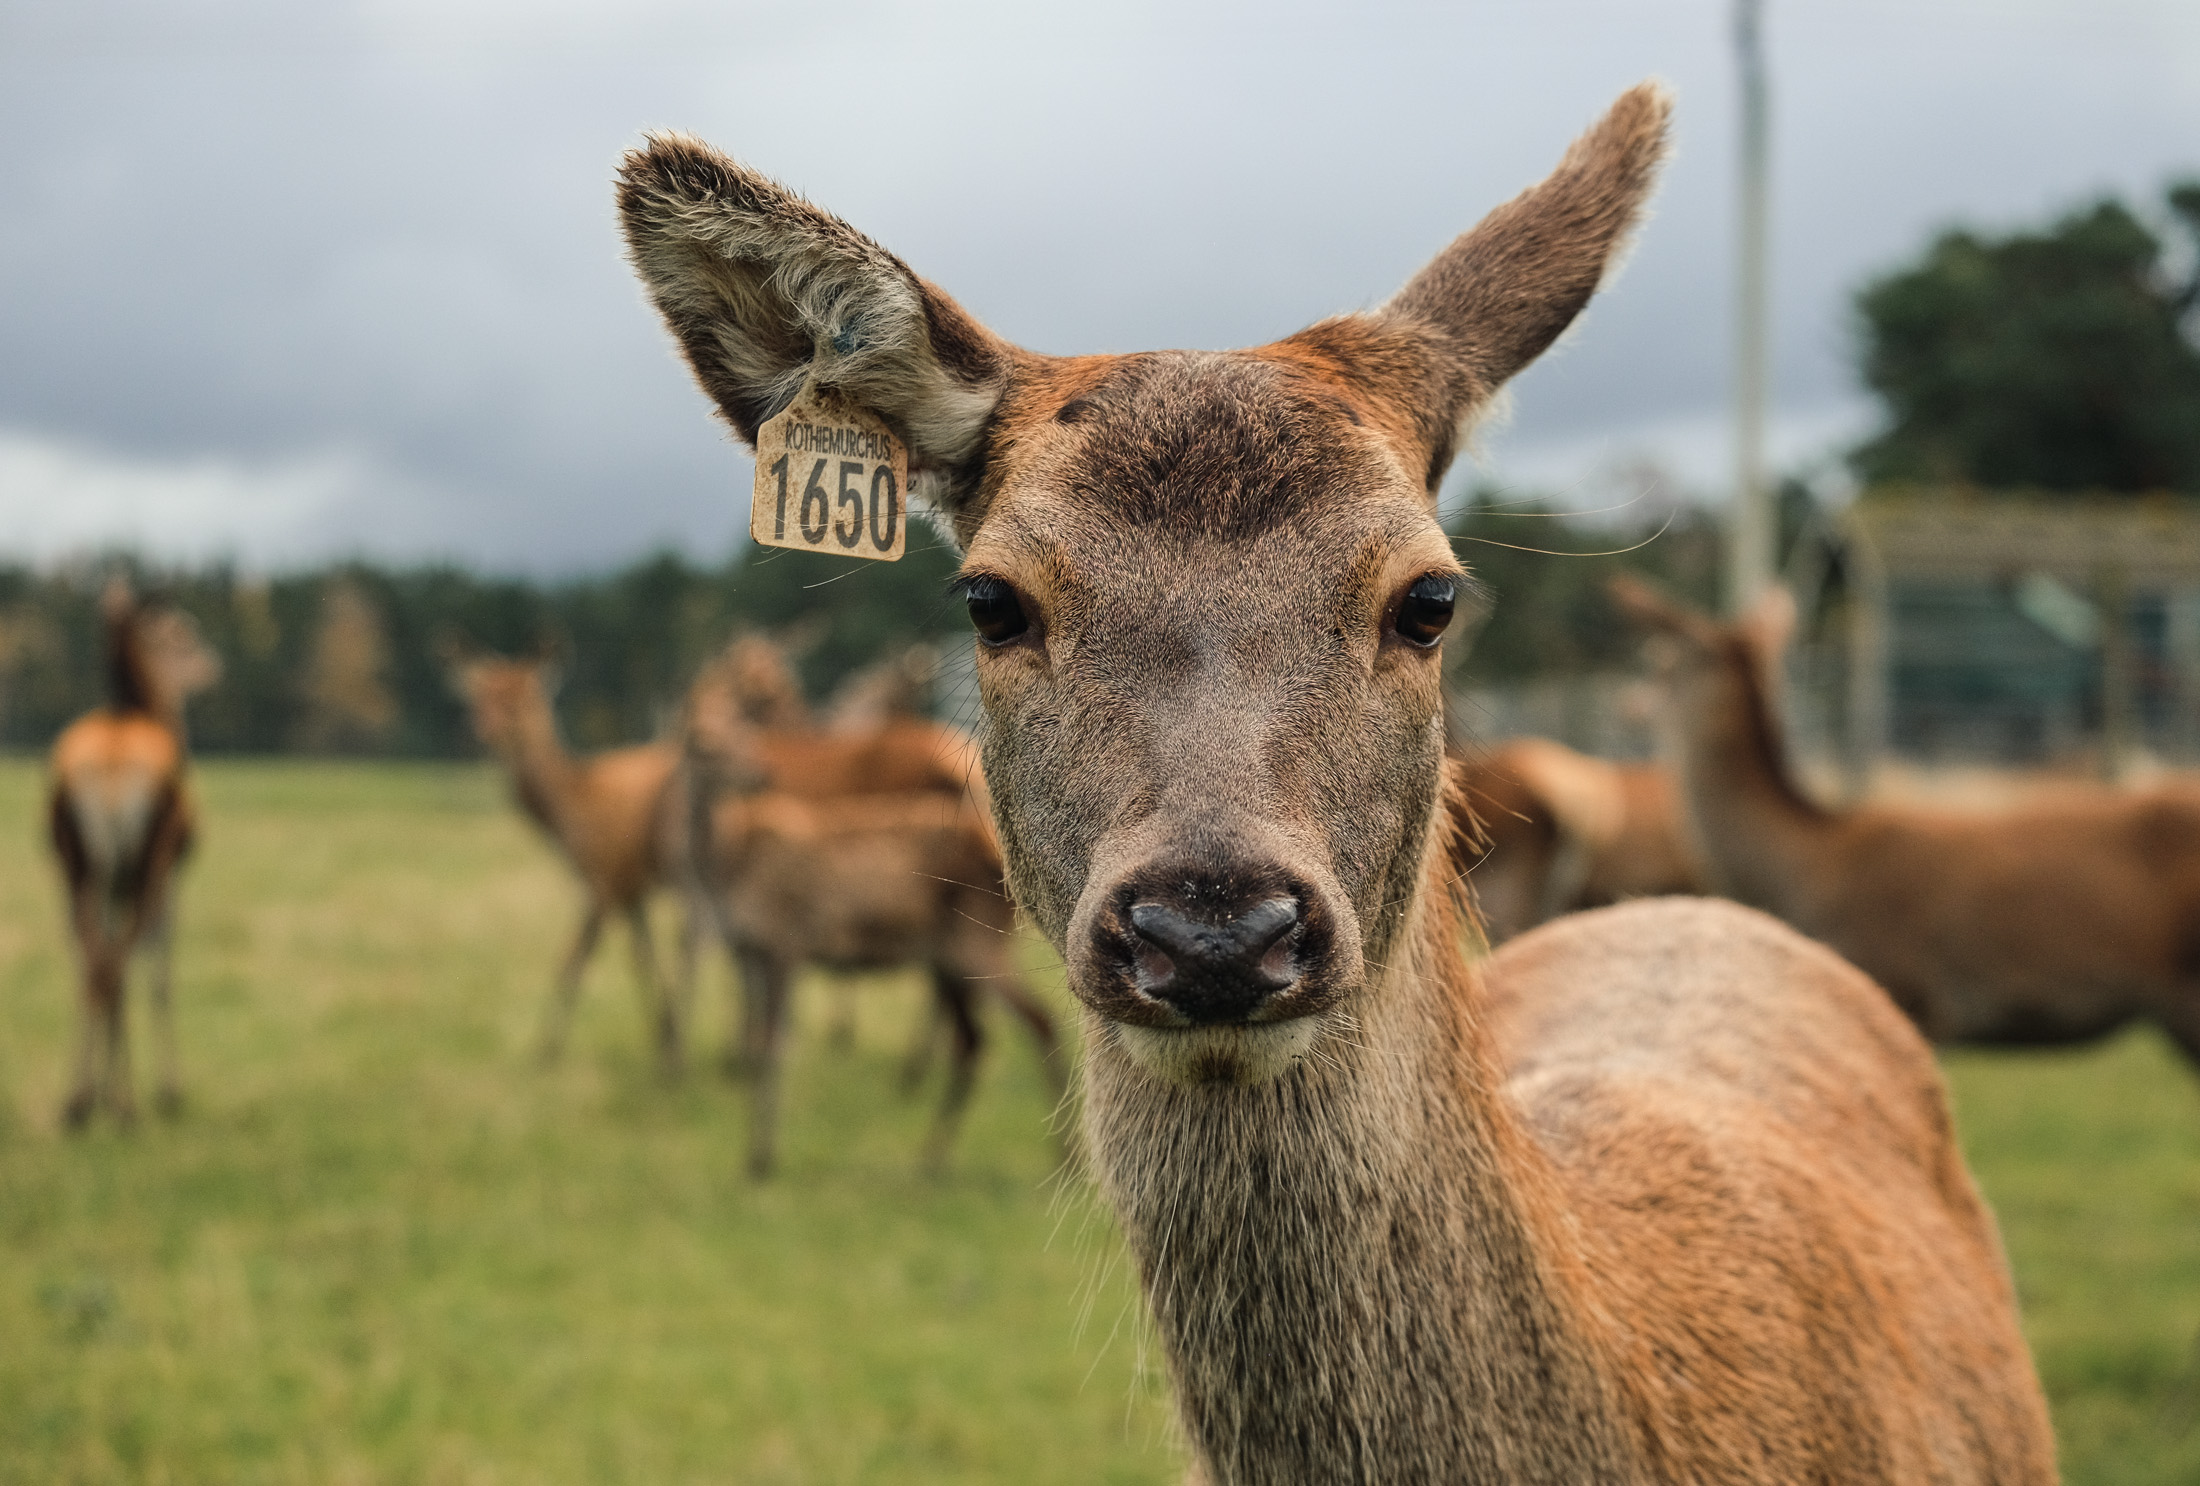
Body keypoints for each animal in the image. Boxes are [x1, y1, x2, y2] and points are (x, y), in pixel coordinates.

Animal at [47, 581, 221, 1128]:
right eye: (184, 632)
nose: (214, 664)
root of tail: (107, 772)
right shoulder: (173, 874)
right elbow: (160, 976)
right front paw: (169, 1091)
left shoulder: (113, 881)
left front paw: (103, 1092)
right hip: (149, 858)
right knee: (118, 963)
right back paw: (121, 1105)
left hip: (75, 863)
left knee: (92, 963)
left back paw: (81, 1102)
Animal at [449, 653, 694, 1073]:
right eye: (480, 697)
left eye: (521, 700)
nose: (480, 730)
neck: (573, 808)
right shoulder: (629, 887)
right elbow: (643, 961)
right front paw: (663, 1039)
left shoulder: (603, 877)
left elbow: (573, 961)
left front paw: (546, 1051)